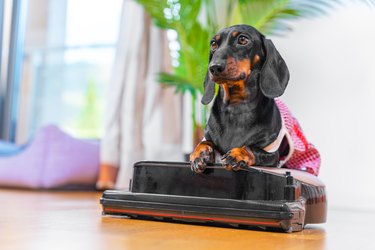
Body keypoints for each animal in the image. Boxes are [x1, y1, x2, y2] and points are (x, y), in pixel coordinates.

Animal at [189, 25, 292, 173]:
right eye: (213, 44)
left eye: (242, 39)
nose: (214, 67)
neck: (236, 107)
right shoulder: (208, 136)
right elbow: (203, 142)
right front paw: (199, 154)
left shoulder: (272, 154)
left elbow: (251, 148)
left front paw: (238, 154)